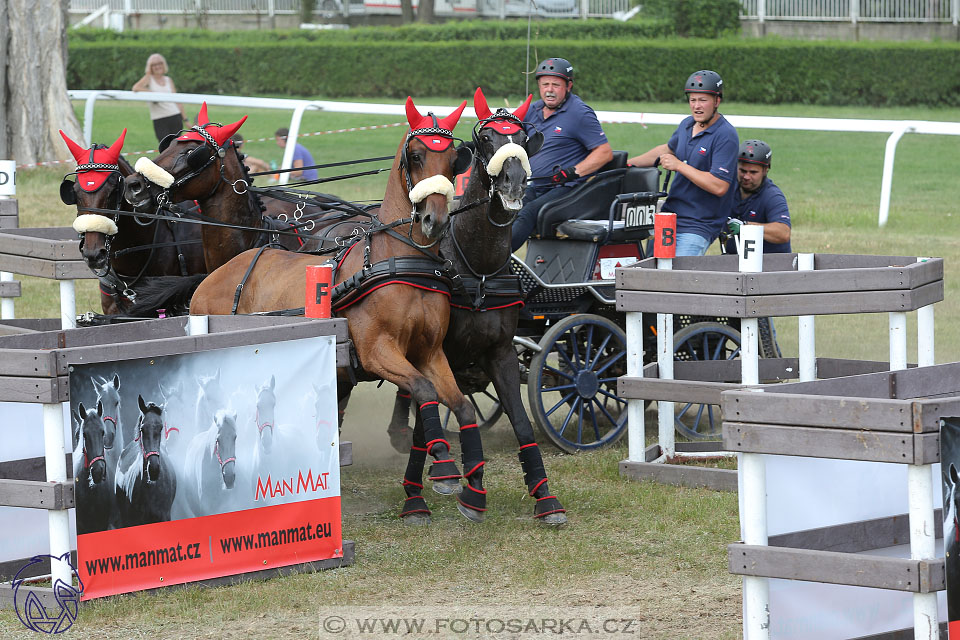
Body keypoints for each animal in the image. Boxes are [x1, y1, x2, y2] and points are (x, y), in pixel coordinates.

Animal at [188, 96, 488, 524]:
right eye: (415, 156)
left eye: (452, 161)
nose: (435, 220)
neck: (399, 260)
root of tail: (213, 277)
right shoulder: (378, 352)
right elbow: (423, 389)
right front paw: (445, 468)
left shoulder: (429, 353)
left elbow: (461, 405)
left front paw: (473, 489)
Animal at [382, 87, 564, 524]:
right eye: (485, 139)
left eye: (521, 137)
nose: (514, 182)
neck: (477, 268)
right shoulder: (440, 352)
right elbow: (427, 421)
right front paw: (423, 492)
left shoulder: (500, 353)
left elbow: (522, 423)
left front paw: (544, 496)